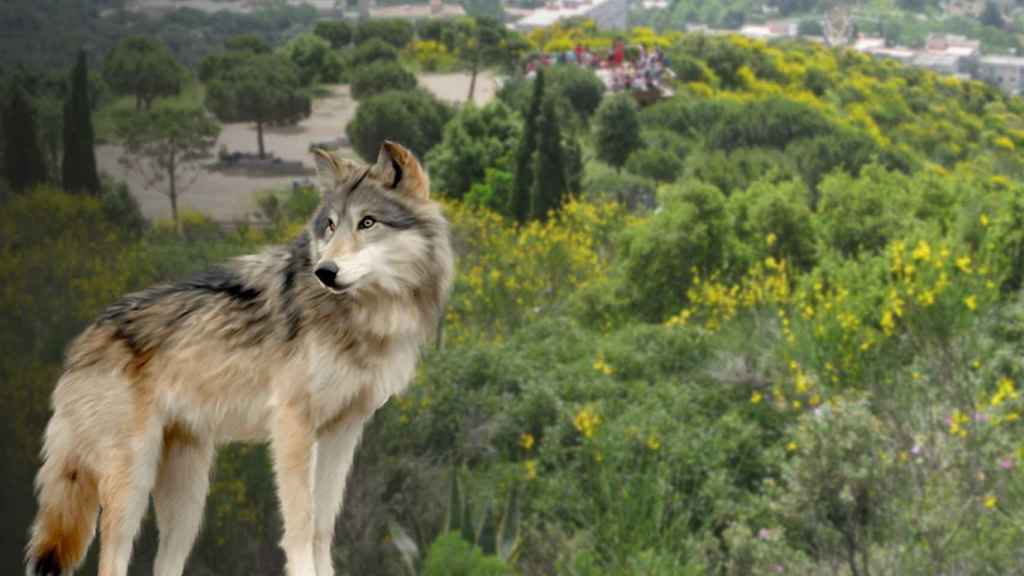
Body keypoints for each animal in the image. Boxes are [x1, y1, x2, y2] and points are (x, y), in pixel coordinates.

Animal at [24, 140, 452, 573]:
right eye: (330, 226)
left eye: (367, 222)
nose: (325, 271)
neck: (364, 315)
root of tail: (81, 342)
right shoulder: (293, 425)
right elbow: (300, 525)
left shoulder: (342, 431)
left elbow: (321, 527)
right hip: (132, 482)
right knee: (111, 555)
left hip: (188, 501)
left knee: (164, 561)